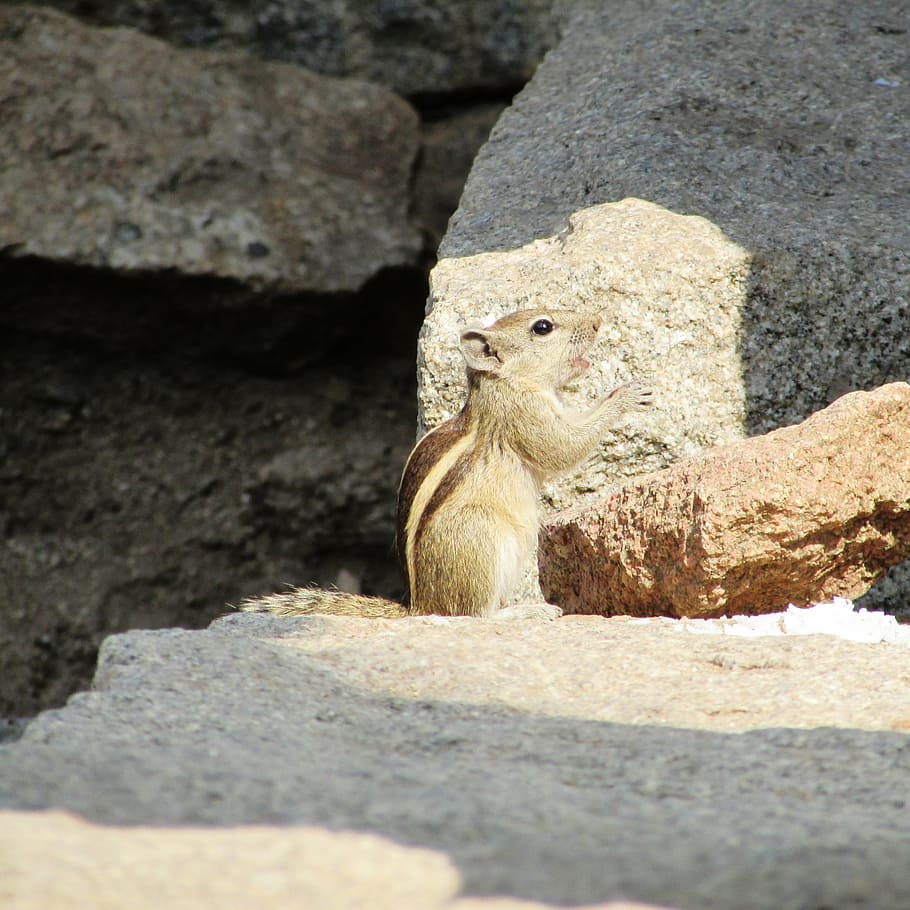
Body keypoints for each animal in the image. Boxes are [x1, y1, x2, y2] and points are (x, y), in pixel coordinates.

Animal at [238, 307, 651, 619]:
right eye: (542, 327)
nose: (597, 321)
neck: (501, 382)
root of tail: (420, 606)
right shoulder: (524, 415)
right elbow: (563, 447)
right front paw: (626, 395)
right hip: (481, 538)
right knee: (474, 614)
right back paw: (528, 611)